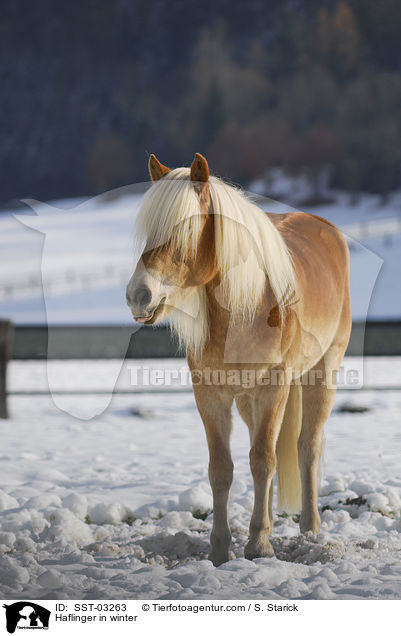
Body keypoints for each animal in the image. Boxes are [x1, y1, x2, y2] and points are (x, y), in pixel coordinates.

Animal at [126, 153, 350, 568]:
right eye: (149, 233)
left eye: (187, 230)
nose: (138, 295)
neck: (248, 307)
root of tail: (324, 227)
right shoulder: (210, 395)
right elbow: (222, 467)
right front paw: (219, 549)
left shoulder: (273, 389)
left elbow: (263, 459)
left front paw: (259, 545)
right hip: (247, 400)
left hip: (321, 374)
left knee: (307, 446)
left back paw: (310, 528)